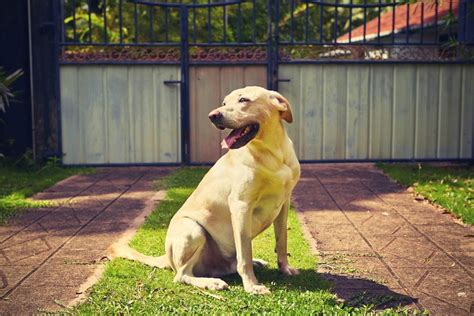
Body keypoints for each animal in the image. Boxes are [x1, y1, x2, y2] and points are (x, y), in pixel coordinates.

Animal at [120, 86, 302, 294]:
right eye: (224, 103)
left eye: (243, 100)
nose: (213, 116)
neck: (274, 154)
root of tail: (166, 257)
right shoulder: (241, 206)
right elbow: (245, 253)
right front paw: (252, 285)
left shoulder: (283, 205)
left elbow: (281, 242)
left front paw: (285, 268)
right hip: (193, 229)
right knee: (182, 275)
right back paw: (211, 282)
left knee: (230, 263)